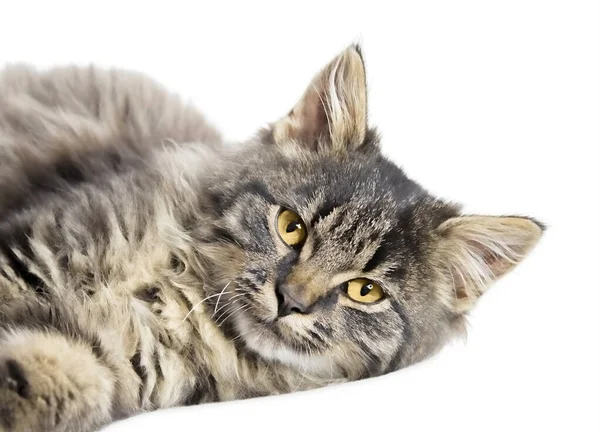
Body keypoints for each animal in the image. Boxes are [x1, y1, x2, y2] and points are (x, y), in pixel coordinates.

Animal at [0, 45, 544, 430]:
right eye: (291, 227)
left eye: (365, 291)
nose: (290, 300)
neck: (182, 299)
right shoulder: (31, 249)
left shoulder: (99, 362)